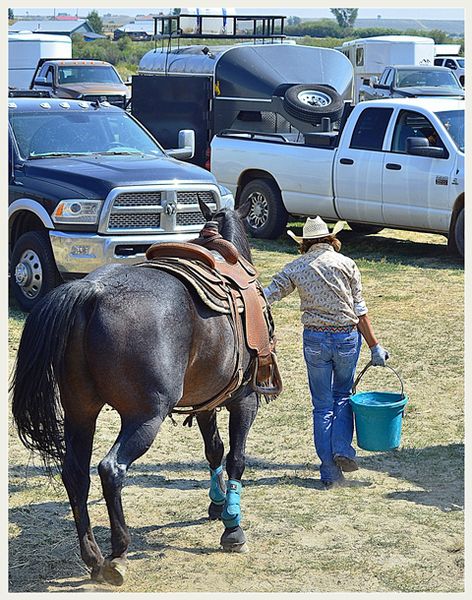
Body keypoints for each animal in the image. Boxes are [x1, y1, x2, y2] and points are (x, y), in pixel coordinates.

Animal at [11, 198, 268, 584]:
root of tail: (91, 292)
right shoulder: (245, 399)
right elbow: (236, 457)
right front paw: (232, 527)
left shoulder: (207, 401)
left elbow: (214, 450)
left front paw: (217, 502)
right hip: (145, 417)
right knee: (110, 469)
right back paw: (118, 551)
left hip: (80, 412)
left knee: (75, 473)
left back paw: (92, 555)